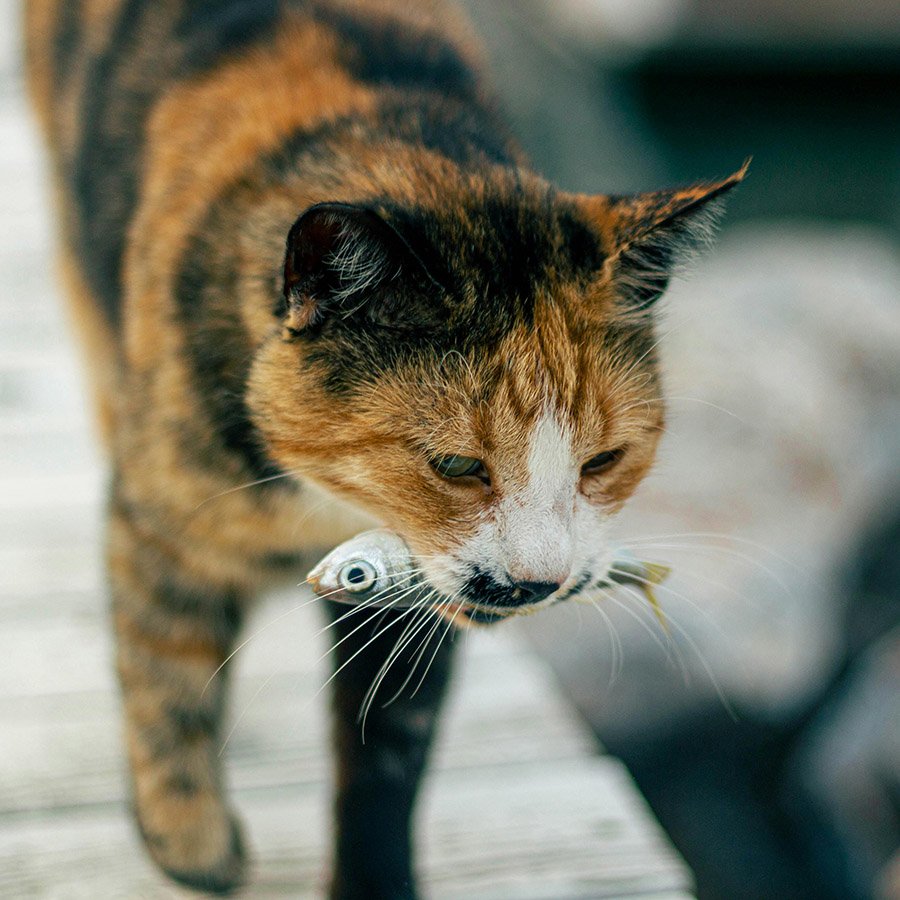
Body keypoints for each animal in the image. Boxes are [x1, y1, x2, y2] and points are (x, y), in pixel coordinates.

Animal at [24, 0, 744, 892]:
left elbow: (386, 756)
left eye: (602, 462)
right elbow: (168, 675)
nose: (537, 582)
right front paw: (188, 843)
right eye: (457, 466)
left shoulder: (406, 611)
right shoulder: (167, 525)